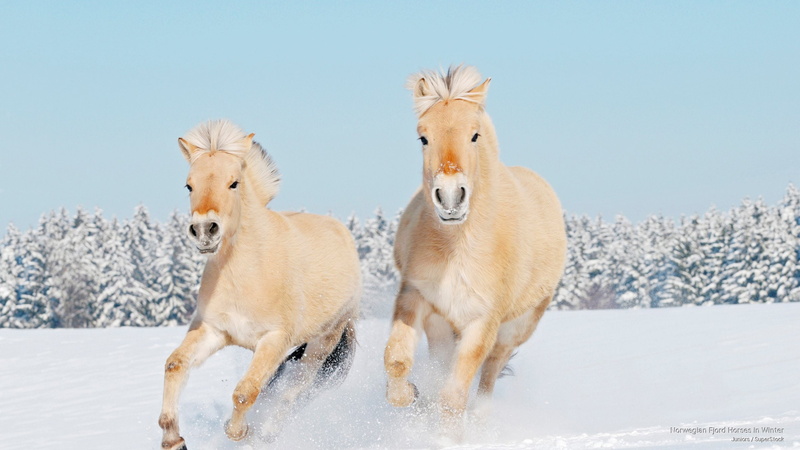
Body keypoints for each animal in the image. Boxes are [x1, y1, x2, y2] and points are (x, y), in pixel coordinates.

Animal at [158, 119, 361, 449]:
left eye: (234, 183)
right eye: (189, 185)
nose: (204, 230)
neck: (246, 274)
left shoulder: (274, 339)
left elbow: (245, 393)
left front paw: (241, 433)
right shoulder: (214, 331)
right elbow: (175, 365)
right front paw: (173, 438)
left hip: (322, 342)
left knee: (294, 390)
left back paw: (269, 432)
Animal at [383, 65, 567, 440]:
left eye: (475, 136)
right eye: (423, 137)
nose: (451, 198)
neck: (457, 248)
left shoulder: (483, 321)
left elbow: (454, 394)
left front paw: (445, 440)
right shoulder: (417, 299)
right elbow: (396, 360)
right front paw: (410, 396)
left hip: (515, 328)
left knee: (491, 371)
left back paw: (481, 420)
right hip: (442, 325)